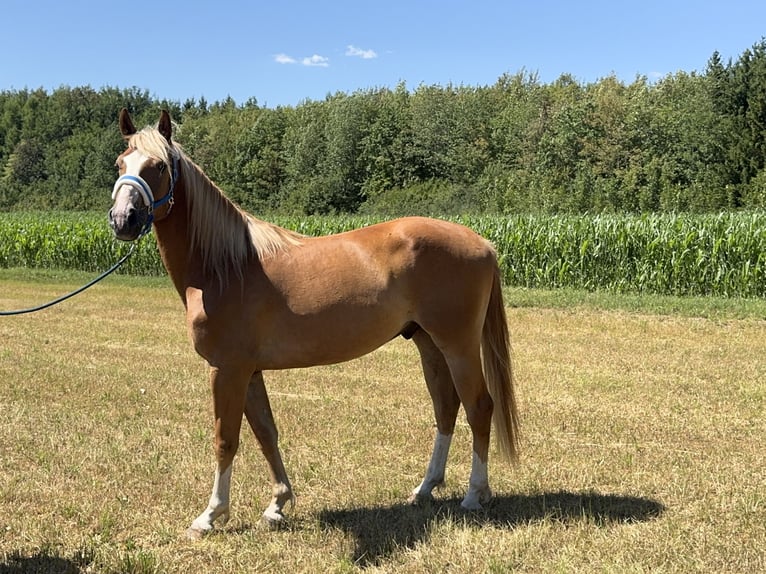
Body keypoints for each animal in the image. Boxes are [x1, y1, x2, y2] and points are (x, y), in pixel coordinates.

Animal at [108, 109, 520, 539]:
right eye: (120, 163)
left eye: (158, 166)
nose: (122, 220)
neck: (224, 266)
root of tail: (484, 243)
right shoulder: (249, 371)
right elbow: (266, 433)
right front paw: (277, 504)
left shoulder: (227, 369)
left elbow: (226, 439)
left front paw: (210, 515)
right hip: (428, 343)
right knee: (446, 407)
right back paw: (425, 489)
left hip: (458, 345)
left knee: (479, 407)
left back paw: (474, 495)